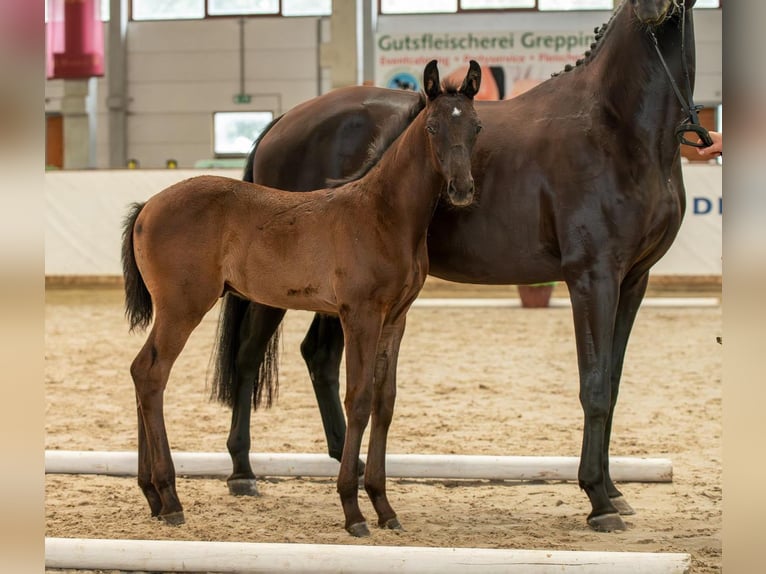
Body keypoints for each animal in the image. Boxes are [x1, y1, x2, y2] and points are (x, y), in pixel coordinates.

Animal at [121, 60, 484, 536]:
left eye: (476, 127)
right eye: (433, 127)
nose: (462, 189)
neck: (382, 213)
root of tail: (147, 207)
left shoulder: (395, 318)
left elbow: (385, 402)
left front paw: (384, 507)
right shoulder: (359, 314)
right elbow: (358, 399)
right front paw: (353, 511)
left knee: (141, 371)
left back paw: (152, 496)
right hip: (183, 307)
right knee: (151, 374)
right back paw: (171, 496)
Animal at [213, 0, 704, 536]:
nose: (652, 8)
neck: (615, 126)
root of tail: (282, 122)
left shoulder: (633, 280)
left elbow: (611, 384)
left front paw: (613, 490)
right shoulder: (592, 276)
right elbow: (594, 386)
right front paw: (597, 498)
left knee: (318, 358)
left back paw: (352, 466)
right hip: (278, 289)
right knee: (247, 357)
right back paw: (243, 472)